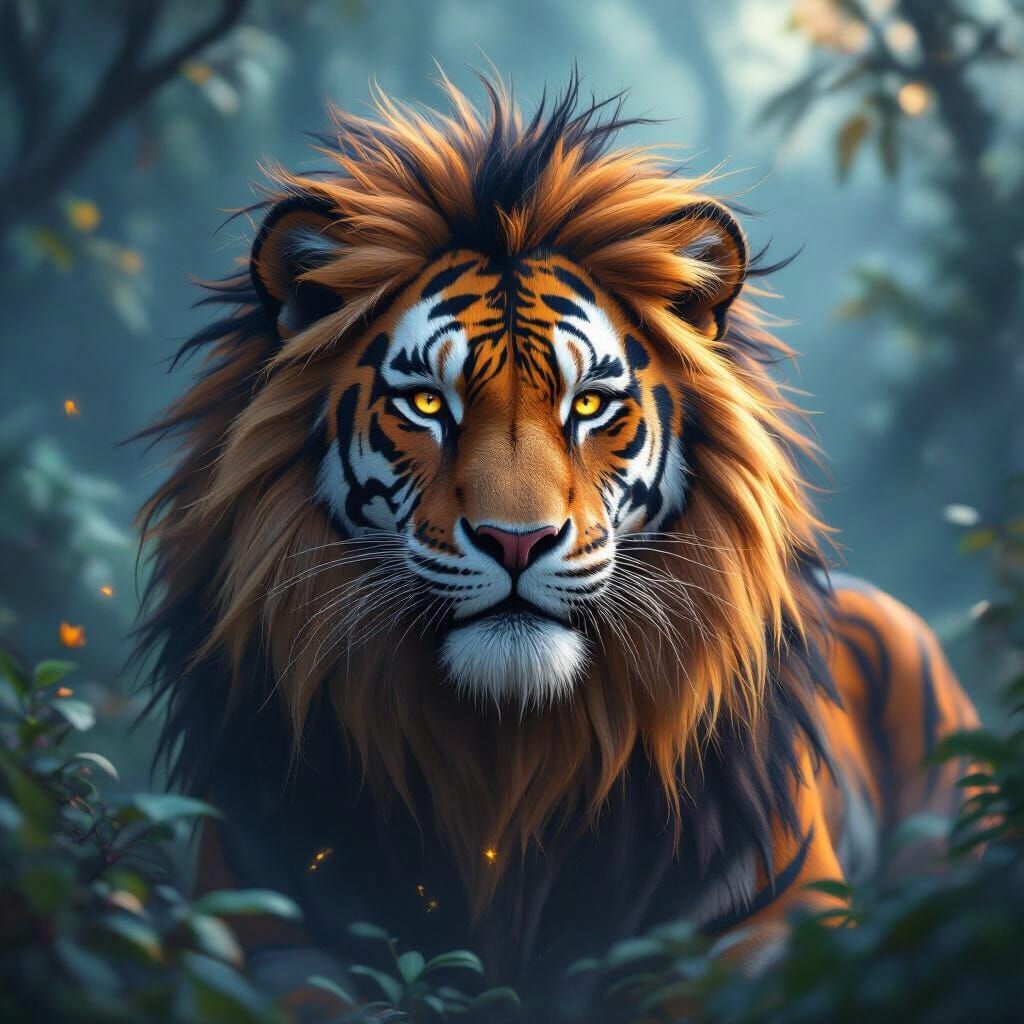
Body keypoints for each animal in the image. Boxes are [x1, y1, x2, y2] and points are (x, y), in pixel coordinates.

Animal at [137, 73, 979, 1020]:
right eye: (426, 404)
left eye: (589, 405)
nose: (518, 541)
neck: (509, 762)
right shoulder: (259, 925)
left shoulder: (769, 927)